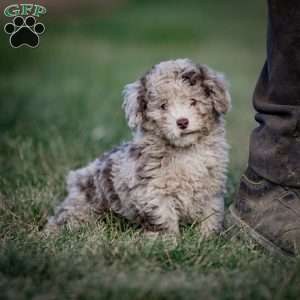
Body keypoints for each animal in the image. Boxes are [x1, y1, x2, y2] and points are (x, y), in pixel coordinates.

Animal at [45, 58, 231, 237]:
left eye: (193, 101)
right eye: (163, 106)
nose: (182, 122)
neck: (185, 152)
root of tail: (76, 178)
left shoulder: (212, 189)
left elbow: (210, 215)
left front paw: (207, 238)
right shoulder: (153, 191)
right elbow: (164, 219)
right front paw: (167, 241)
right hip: (83, 205)